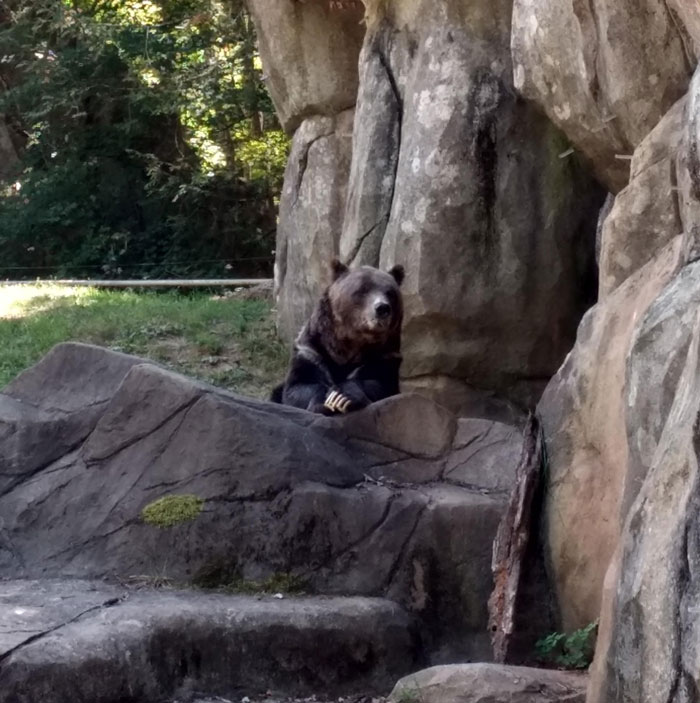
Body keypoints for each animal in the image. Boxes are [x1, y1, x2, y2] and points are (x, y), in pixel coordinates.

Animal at [271, 259, 404, 415]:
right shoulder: (311, 351)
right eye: (362, 290)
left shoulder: (385, 356)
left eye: (390, 293)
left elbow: (378, 383)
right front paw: (324, 401)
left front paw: (343, 397)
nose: (382, 308)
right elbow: (298, 386)